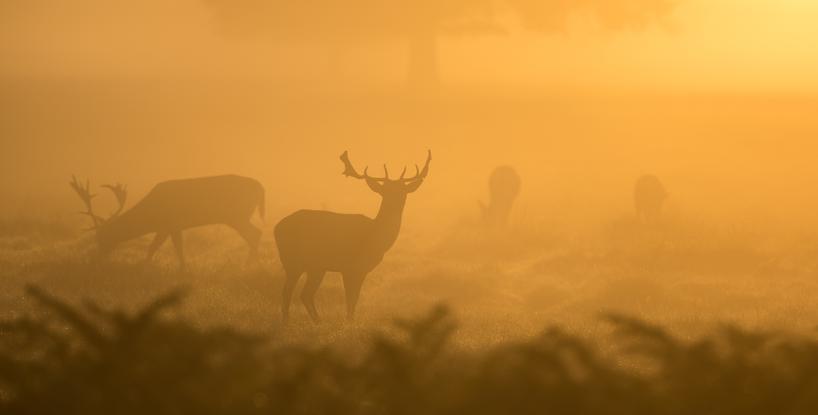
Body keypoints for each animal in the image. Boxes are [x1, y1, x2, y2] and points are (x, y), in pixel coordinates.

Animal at [70, 175, 262, 270]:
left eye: (102, 237)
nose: (96, 260)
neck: (152, 216)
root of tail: (261, 188)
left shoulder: (172, 224)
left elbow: (166, 247)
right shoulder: (168, 227)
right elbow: (159, 247)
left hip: (237, 215)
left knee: (255, 233)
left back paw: (248, 265)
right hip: (238, 217)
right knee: (255, 234)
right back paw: (251, 264)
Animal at [274, 151, 430, 324]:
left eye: (403, 191)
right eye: (385, 191)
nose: (395, 202)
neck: (375, 237)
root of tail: (276, 228)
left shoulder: (361, 269)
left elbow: (355, 298)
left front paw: (350, 320)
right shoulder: (349, 267)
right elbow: (351, 298)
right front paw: (349, 322)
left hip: (315, 267)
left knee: (304, 294)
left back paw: (317, 321)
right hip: (293, 261)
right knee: (288, 292)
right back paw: (289, 321)